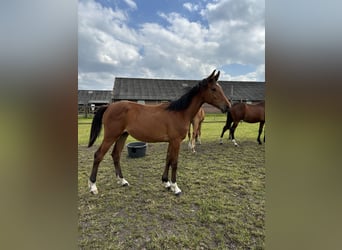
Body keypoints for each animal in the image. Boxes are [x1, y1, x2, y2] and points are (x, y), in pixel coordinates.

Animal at [87, 70, 231, 195]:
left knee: (115, 155)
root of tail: (109, 106)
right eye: (213, 89)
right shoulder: (176, 141)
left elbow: (168, 159)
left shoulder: (171, 142)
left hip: (122, 135)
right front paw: (175, 187)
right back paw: (93, 186)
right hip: (110, 136)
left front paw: (166, 182)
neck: (179, 112)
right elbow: (174, 162)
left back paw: (122, 181)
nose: (228, 106)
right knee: (98, 155)